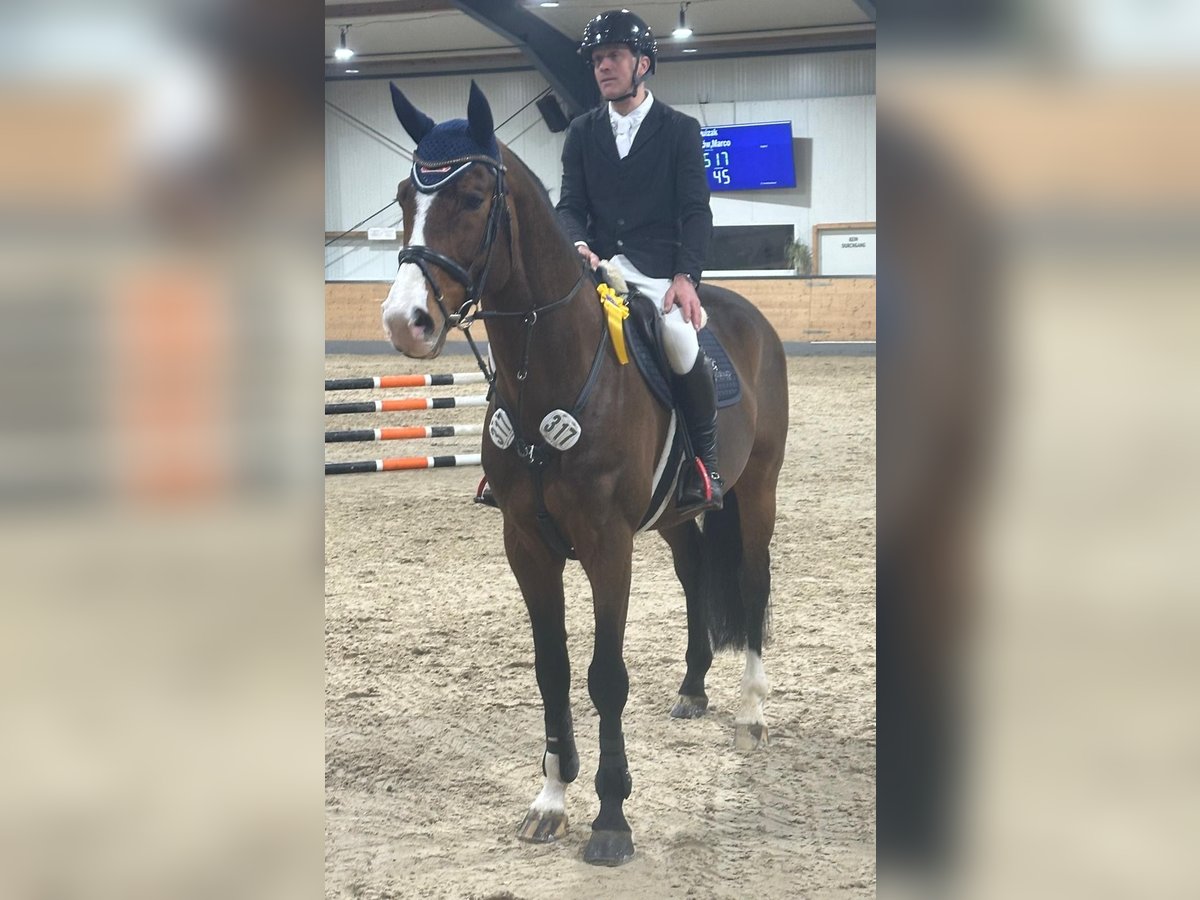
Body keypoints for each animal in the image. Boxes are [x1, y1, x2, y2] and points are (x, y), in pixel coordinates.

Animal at [379, 81, 788, 866]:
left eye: (472, 197)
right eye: (403, 198)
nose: (405, 321)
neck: (549, 371)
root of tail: (747, 314)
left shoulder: (606, 544)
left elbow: (605, 677)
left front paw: (610, 819)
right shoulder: (526, 544)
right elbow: (553, 671)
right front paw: (550, 799)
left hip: (756, 491)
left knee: (752, 584)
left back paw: (752, 712)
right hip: (675, 515)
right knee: (695, 572)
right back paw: (694, 687)